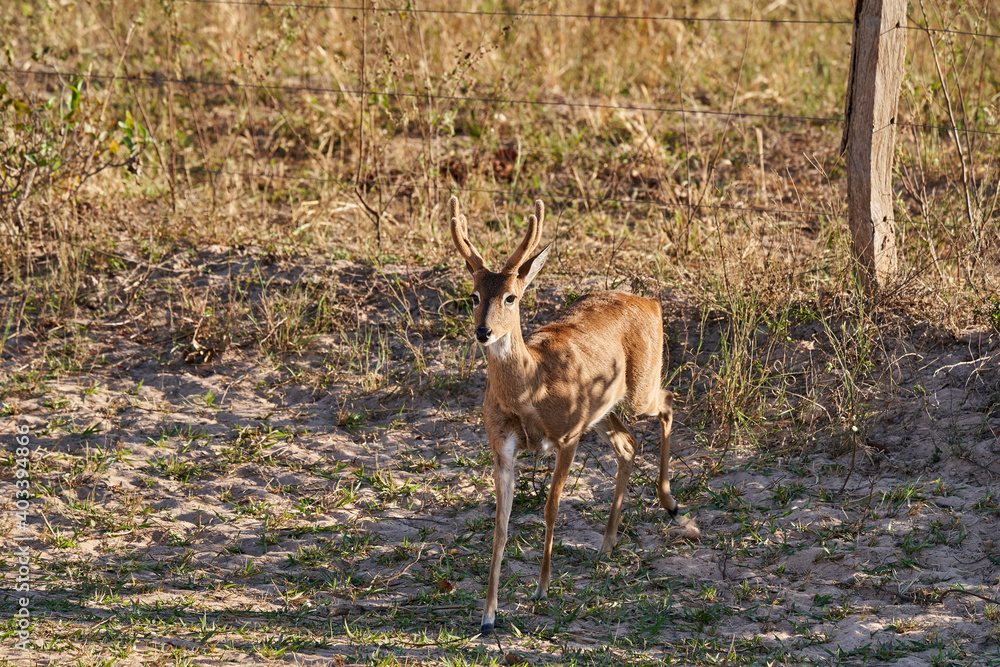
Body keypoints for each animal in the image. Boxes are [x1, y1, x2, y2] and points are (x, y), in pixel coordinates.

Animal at [448, 196, 678, 634]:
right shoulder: (501, 448)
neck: (532, 387)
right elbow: (500, 525)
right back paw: (607, 544)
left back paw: (670, 502)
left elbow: (551, 509)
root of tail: (651, 302)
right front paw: (488, 615)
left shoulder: (568, 436)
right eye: (473, 295)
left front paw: (541, 589)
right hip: (603, 412)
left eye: (511, 297)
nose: (484, 332)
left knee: (668, 405)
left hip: (639, 391)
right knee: (628, 443)